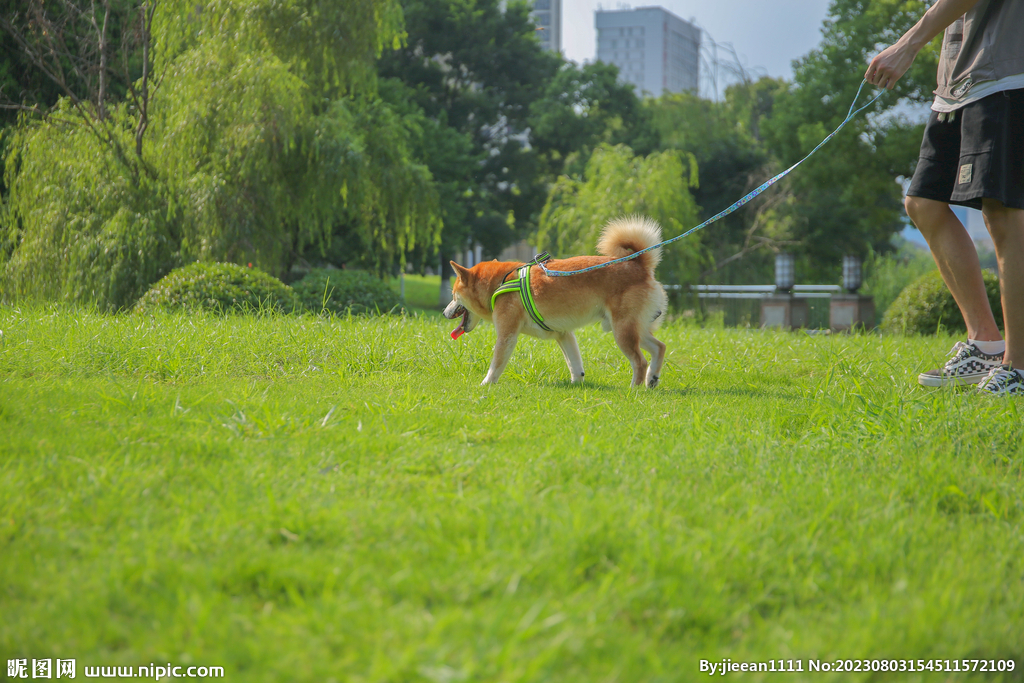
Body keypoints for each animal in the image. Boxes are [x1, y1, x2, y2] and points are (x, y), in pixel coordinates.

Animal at [442, 216, 667, 387]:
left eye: (453, 295)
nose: (444, 313)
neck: (501, 282)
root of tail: (639, 264)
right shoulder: (564, 334)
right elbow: (575, 365)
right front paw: (577, 385)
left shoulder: (507, 335)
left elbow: (496, 364)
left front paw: (485, 384)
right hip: (631, 328)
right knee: (660, 347)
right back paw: (652, 379)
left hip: (622, 330)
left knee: (640, 361)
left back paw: (634, 389)